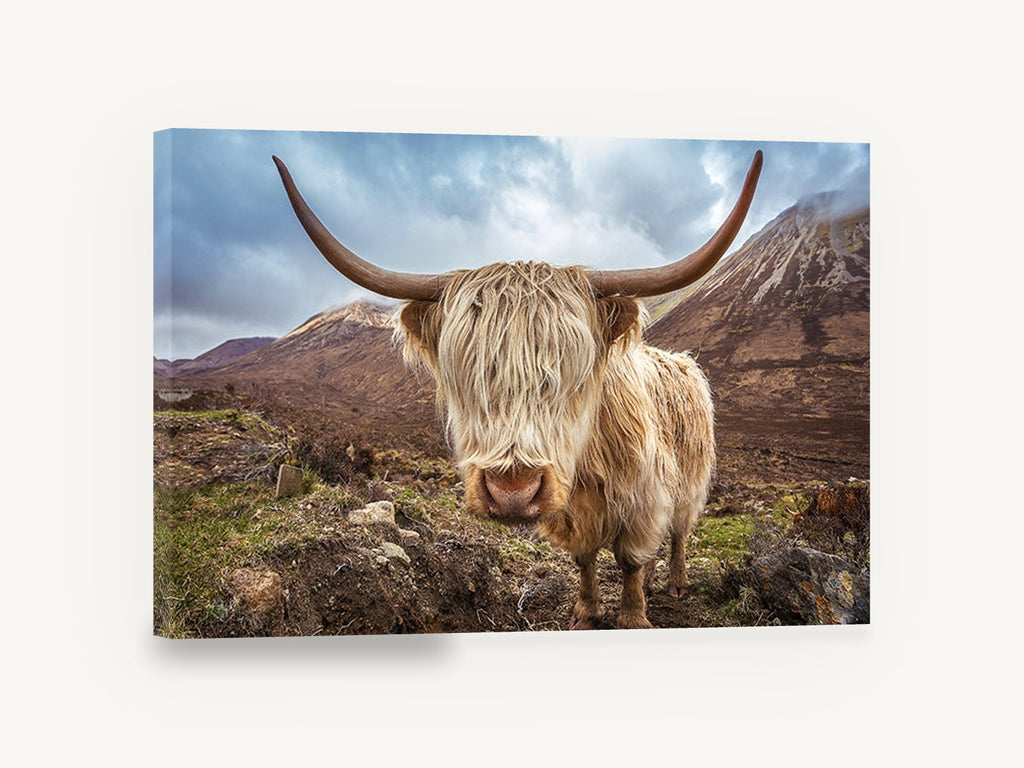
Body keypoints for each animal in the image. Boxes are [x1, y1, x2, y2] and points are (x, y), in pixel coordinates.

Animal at [273, 150, 762, 629]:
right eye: (466, 372)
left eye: (573, 374)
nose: (513, 492)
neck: (587, 468)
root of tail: (684, 361)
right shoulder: (573, 514)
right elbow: (585, 559)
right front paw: (586, 612)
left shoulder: (643, 499)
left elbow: (629, 561)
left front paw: (632, 617)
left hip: (690, 481)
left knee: (678, 531)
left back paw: (675, 582)